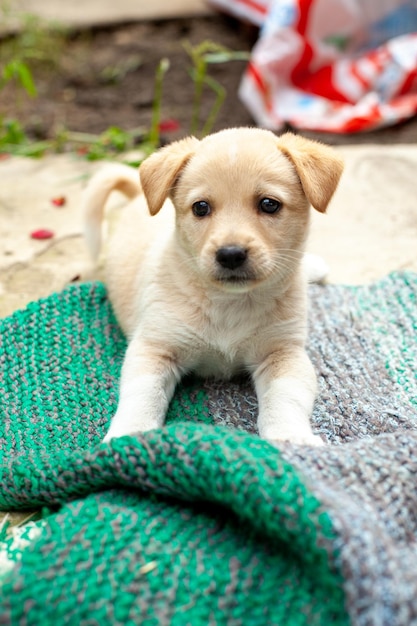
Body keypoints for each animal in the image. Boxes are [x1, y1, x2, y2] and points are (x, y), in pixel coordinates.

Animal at [82, 128, 342, 444]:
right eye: (201, 207)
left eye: (269, 204)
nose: (230, 255)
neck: (229, 303)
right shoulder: (155, 347)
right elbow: (142, 395)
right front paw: (130, 436)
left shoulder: (283, 353)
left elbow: (286, 399)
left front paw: (290, 436)